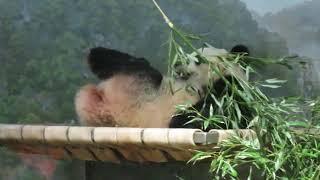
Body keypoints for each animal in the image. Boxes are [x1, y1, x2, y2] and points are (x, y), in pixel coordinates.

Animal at [75, 44, 250, 130]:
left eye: (198, 59)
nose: (177, 62)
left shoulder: (232, 93)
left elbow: (194, 120)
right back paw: (96, 55)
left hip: (139, 86)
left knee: (142, 68)